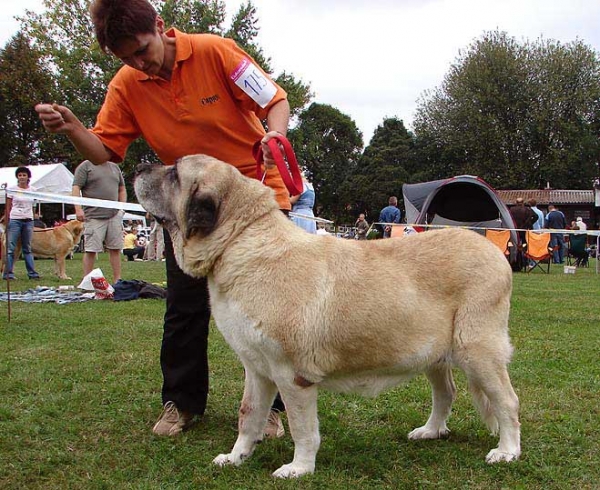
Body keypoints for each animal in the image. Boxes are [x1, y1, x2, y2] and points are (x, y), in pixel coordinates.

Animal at [135, 157, 520, 478]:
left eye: (174, 174)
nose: (139, 166)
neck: (239, 240)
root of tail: (493, 251)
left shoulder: (292, 376)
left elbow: (302, 428)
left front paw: (298, 468)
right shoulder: (256, 369)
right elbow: (248, 415)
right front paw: (236, 457)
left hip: (477, 350)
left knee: (507, 400)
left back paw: (507, 451)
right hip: (432, 354)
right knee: (446, 393)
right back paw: (430, 431)